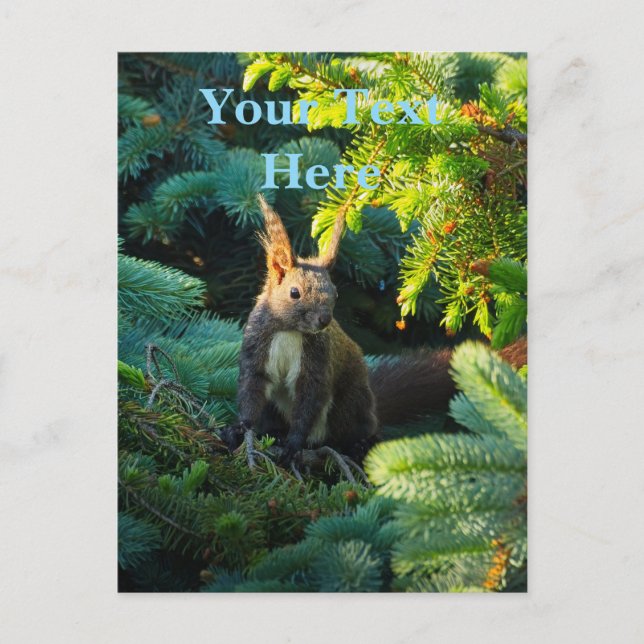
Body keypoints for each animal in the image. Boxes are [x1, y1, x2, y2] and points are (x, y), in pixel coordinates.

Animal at [223, 195, 527, 464]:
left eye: (335, 293)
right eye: (294, 293)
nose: (324, 321)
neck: (290, 331)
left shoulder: (317, 364)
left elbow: (308, 404)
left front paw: (293, 445)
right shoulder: (256, 349)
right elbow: (251, 394)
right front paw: (239, 429)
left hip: (349, 402)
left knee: (358, 431)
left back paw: (359, 446)